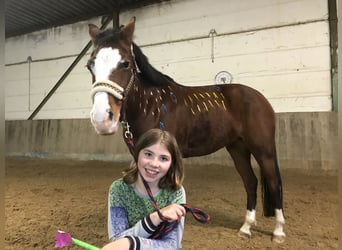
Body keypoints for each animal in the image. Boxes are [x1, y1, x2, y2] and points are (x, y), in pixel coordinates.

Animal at [86, 17, 286, 242]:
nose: (102, 119)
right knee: (251, 182)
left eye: (125, 63)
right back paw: (246, 227)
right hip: (238, 148)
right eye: (90, 65)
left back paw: (278, 232)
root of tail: (260, 98)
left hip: (263, 149)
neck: (151, 104)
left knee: (274, 183)